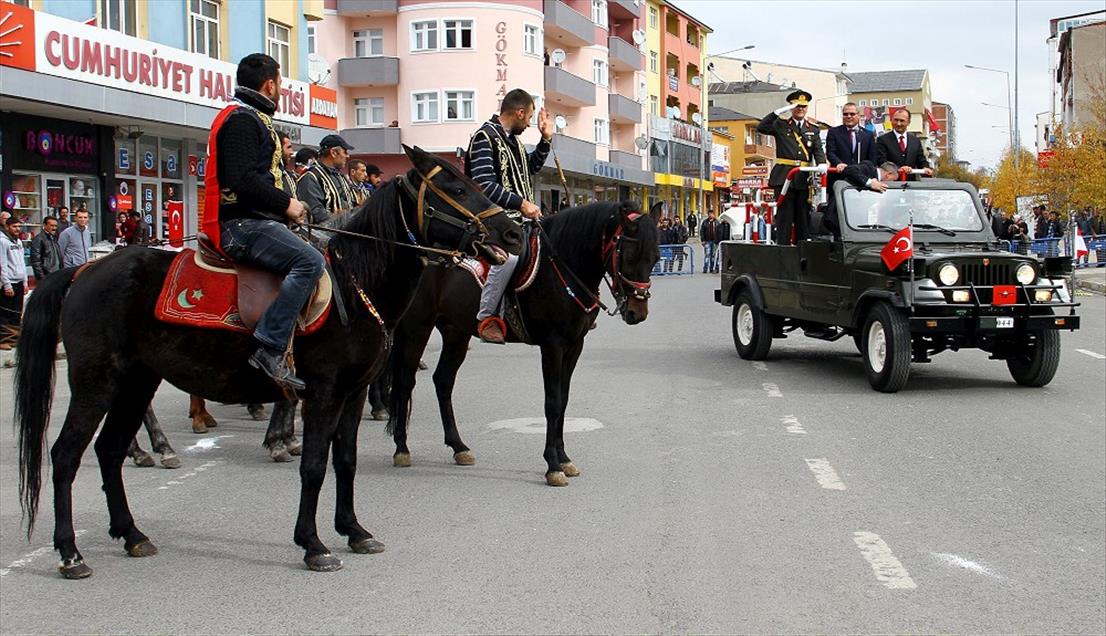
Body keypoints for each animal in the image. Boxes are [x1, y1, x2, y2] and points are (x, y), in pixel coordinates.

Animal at [12, 148, 519, 575]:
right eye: (456, 189)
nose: (512, 231)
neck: (355, 285)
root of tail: (82, 270)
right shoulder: (324, 392)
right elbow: (314, 464)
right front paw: (314, 543)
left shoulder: (353, 393)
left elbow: (346, 460)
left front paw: (354, 531)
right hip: (96, 382)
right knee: (65, 455)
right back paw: (71, 552)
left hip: (137, 382)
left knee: (109, 449)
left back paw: (133, 532)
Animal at [387, 201, 654, 484]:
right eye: (629, 256)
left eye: (655, 257)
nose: (637, 312)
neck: (561, 266)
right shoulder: (552, 346)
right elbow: (552, 402)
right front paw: (553, 466)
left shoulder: (574, 346)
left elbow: (564, 400)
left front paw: (564, 458)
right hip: (417, 328)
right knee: (405, 382)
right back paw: (402, 449)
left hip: (455, 332)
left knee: (443, 381)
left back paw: (459, 446)